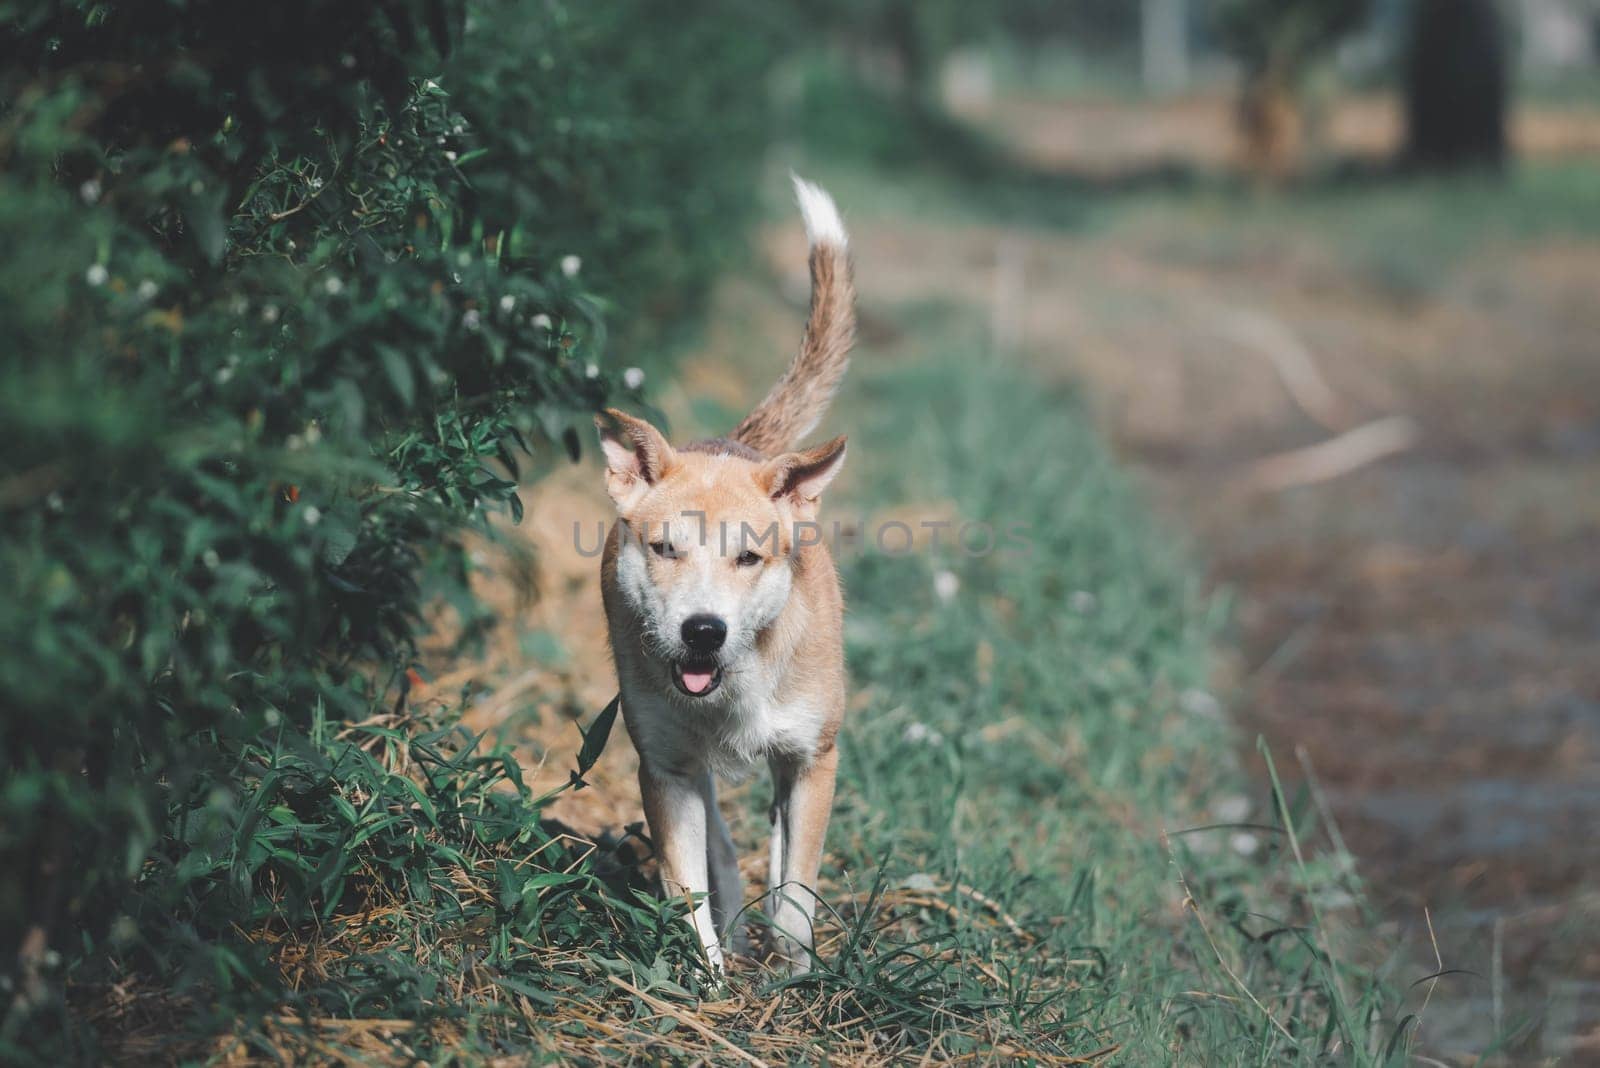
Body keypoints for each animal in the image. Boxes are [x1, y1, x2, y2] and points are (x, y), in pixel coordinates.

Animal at [595, 177, 857, 978]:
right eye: (664, 548)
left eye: (749, 557)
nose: (703, 632)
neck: (735, 685)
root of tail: (736, 444)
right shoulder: (664, 771)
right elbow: (689, 890)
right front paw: (707, 985)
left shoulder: (811, 760)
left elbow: (798, 890)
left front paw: (795, 983)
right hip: (677, 759)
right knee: (718, 841)